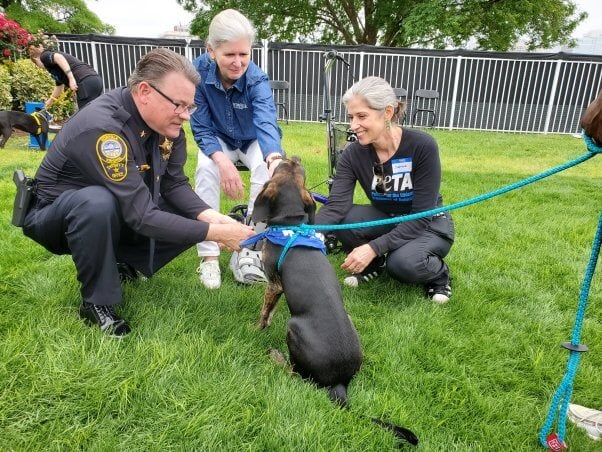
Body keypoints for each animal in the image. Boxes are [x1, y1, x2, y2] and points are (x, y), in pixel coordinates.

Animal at [250, 157, 418, 446]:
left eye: (285, 166)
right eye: (297, 169)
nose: (294, 157)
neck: (292, 223)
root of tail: (340, 385)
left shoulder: (273, 283)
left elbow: (265, 313)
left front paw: (257, 328)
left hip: (294, 329)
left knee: (297, 376)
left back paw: (276, 357)